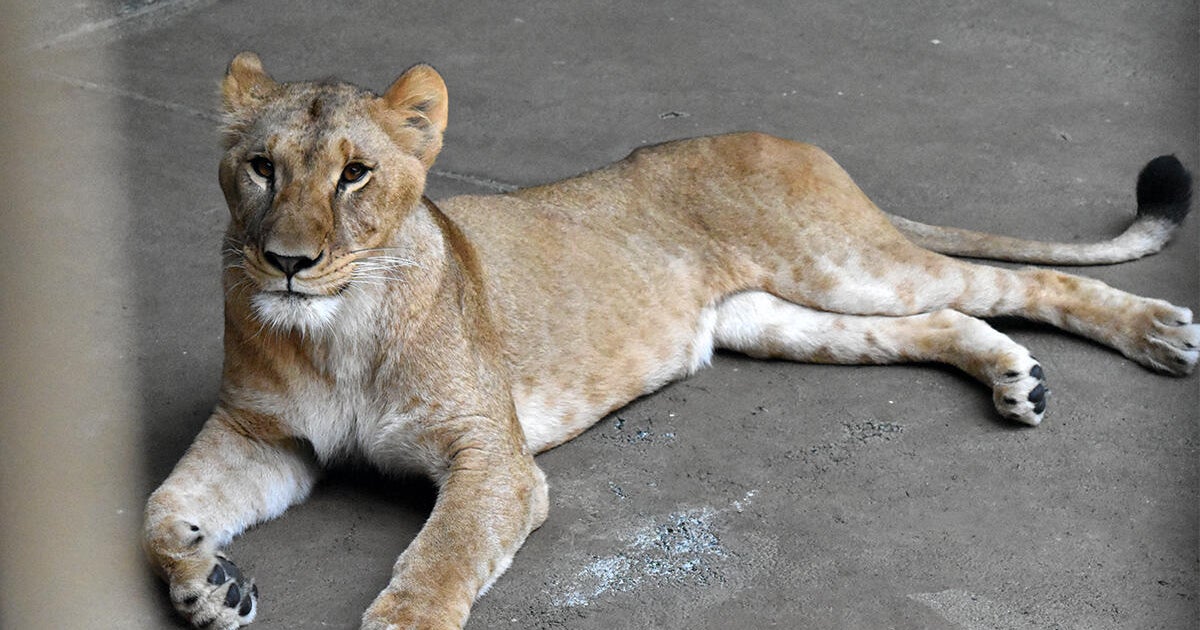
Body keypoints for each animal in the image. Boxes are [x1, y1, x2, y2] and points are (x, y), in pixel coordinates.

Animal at [143, 52, 1197, 630]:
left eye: (355, 173)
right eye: (261, 167)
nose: (286, 262)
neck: (335, 330)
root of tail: (786, 138)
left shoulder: (494, 458)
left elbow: (439, 561)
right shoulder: (264, 437)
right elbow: (160, 513)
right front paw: (210, 587)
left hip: (845, 262)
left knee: (1022, 283)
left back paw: (1157, 335)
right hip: (774, 317)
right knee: (935, 322)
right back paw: (1017, 377)